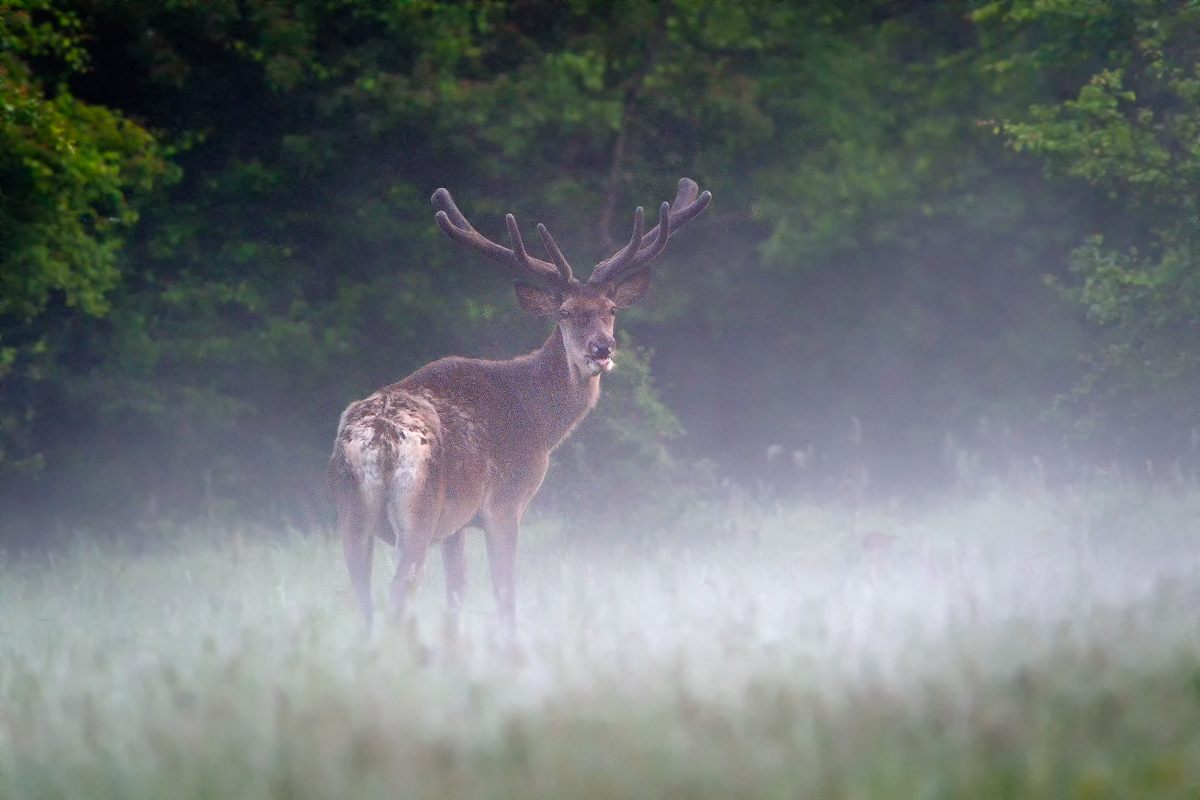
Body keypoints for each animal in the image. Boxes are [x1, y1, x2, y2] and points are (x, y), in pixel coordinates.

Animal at [326, 176, 710, 633]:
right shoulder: (506, 502)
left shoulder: (455, 523)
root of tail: (377, 440)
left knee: (362, 595)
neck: (537, 421)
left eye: (612, 308)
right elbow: (505, 594)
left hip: (350, 511)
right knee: (402, 587)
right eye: (565, 313)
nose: (602, 349)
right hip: (418, 507)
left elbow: (457, 592)